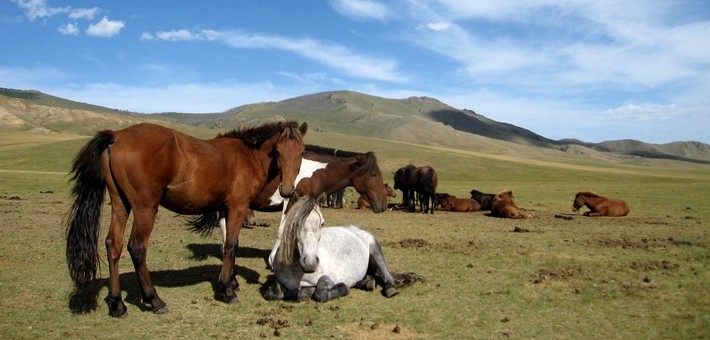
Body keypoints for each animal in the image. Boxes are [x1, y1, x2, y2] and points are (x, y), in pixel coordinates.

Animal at [67, 121, 308, 316]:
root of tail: (117, 135)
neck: (248, 156)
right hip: (145, 208)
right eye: (278, 150)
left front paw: (230, 282)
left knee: (113, 245)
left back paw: (117, 304)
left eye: (301, 152)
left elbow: (230, 245)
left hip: (121, 205)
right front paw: (228, 290)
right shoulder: (238, 207)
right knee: (136, 247)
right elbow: (231, 245)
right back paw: (155, 300)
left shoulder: (224, 209)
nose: (287, 190)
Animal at [266, 195, 400, 302]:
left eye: (322, 223)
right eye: (296, 223)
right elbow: (272, 293)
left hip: (376, 250)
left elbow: (320, 294)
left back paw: (390, 289)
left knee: (386, 274)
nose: (310, 262)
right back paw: (367, 282)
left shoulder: (329, 278)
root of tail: (356, 229)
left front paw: (342, 288)